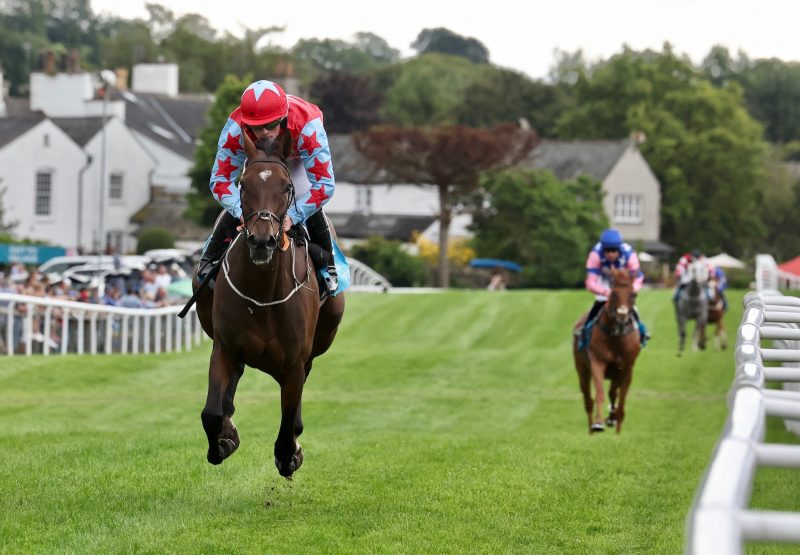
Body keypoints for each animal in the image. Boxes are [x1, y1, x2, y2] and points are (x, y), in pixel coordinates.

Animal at [195, 129, 346, 478]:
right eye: (242, 185)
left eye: (287, 187)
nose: (262, 240)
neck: (262, 294)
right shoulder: (224, 347)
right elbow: (211, 413)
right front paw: (223, 440)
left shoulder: (294, 363)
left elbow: (287, 426)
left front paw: (290, 454)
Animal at [572, 268, 640, 434]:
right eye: (613, 293)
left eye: (633, 294)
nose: (622, 318)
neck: (615, 337)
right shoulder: (597, 361)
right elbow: (600, 392)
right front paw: (598, 423)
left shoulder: (627, 367)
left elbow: (621, 396)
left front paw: (617, 428)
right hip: (582, 369)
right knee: (588, 400)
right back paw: (591, 430)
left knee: (613, 392)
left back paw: (612, 419)